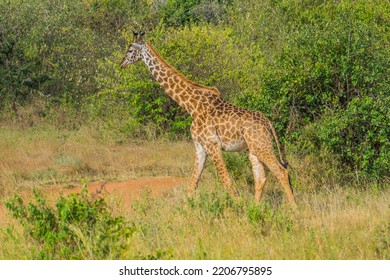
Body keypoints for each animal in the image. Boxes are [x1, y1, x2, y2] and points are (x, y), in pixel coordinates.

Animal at [120, 31, 298, 208]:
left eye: (130, 50)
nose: (121, 64)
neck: (191, 106)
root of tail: (268, 123)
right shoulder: (200, 147)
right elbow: (193, 183)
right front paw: (187, 209)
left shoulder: (212, 145)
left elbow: (225, 179)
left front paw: (238, 205)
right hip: (253, 149)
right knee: (261, 178)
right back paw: (256, 208)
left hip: (262, 146)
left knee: (281, 171)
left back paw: (294, 209)